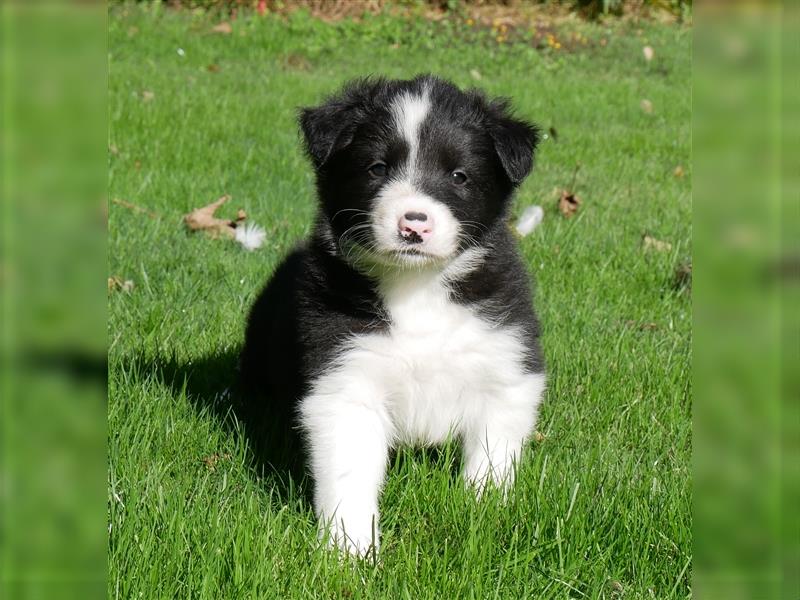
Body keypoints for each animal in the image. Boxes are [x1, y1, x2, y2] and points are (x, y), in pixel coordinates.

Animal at [241, 76, 548, 556]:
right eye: (377, 168)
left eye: (459, 175)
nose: (413, 225)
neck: (417, 288)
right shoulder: (345, 380)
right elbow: (349, 474)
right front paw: (349, 550)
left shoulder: (506, 363)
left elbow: (492, 454)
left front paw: (482, 511)